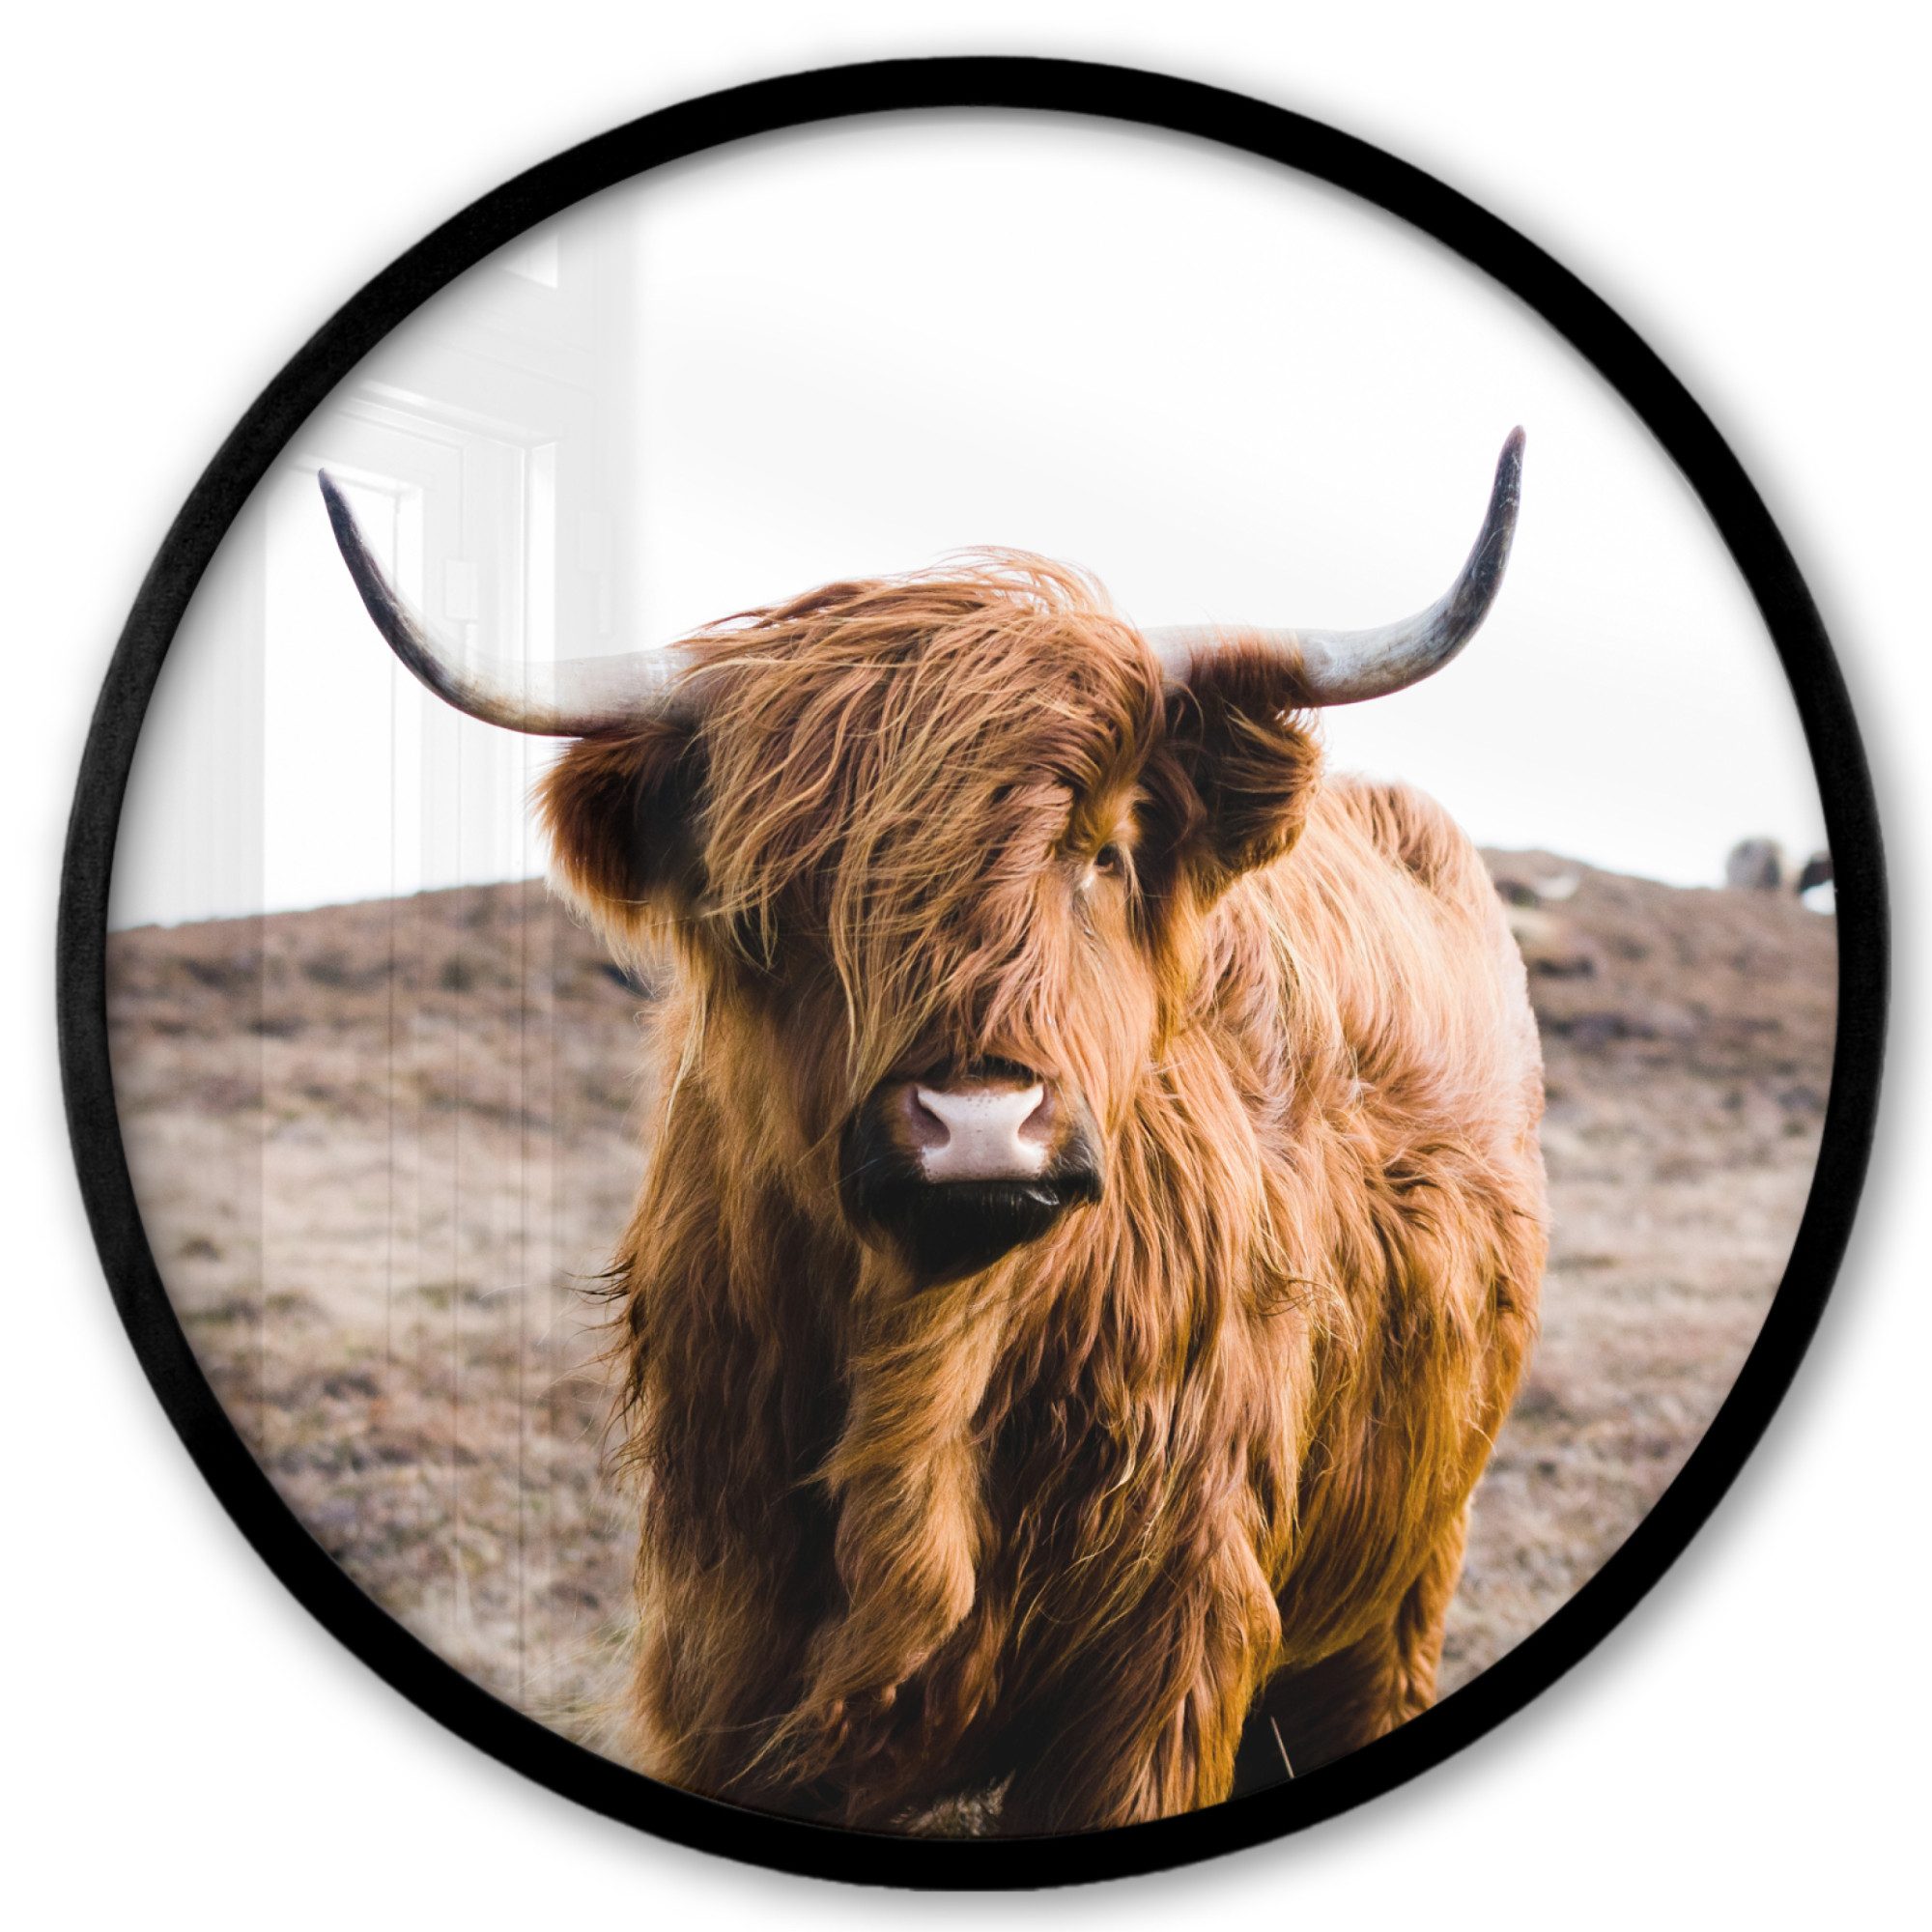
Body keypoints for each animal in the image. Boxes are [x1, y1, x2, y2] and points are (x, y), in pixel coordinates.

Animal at [318, 429, 1546, 1834]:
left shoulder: (1164, 1654)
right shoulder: (720, 1644)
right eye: (767, 899)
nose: (978, 1124)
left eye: (1103, 851)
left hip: (1404, 1576)